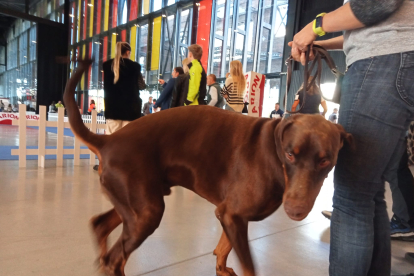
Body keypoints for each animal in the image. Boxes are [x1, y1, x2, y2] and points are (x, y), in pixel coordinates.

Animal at [63, 61, 350, 276]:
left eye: (326, 160)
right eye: (290, 154)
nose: (296, 210)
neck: (274, 151)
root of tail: (108, 140)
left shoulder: (229, 214)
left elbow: (223, 248)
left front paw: (221, 268)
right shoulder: (233, 215)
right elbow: (249, 267)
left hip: (135, 206)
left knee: (101, 227)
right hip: (146, 212)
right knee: (115, 260)